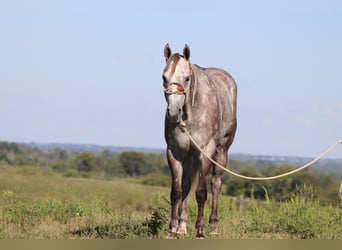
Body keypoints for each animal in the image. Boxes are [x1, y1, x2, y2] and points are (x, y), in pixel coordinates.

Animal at [163, 43, 238, 238]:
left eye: (187, 78)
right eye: (164, 77)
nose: (173, 112)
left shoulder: (206, 152)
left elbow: (201, 193)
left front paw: (200, 231)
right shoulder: (175, 152)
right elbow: (177, 191)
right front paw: (172, 229)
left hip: (221, 152)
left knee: (215, 184)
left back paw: (213, 226)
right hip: (190, 157)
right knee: (187, 185)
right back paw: (182, 226)